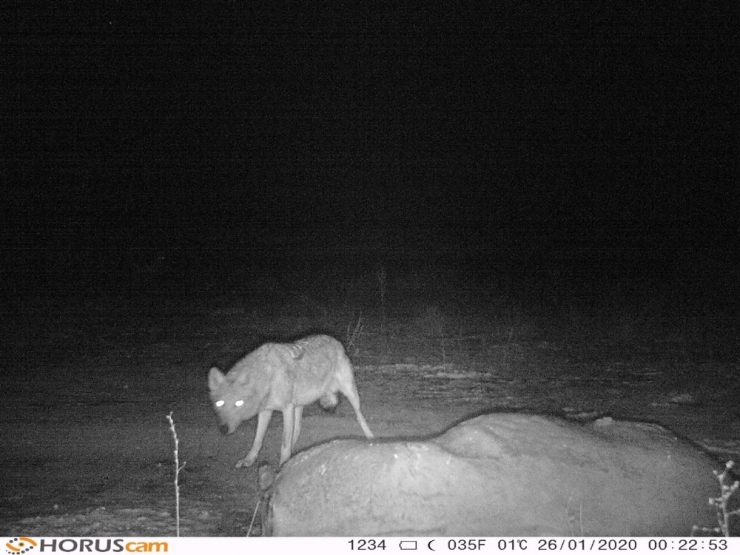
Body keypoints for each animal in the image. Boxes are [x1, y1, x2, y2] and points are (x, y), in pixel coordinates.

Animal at [208, 334, 372, 470]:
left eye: (239, 403)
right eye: (219, 404)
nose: (223, 429)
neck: (267, 376)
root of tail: (335, 340)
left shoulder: (286, 408)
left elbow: (284, 443)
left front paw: (282, 465)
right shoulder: (266, 410)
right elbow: (257, 440)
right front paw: (248, 460)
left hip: (349, 393)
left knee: (359, 416)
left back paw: (371, 437)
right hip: (299, 405)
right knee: (298, 428)